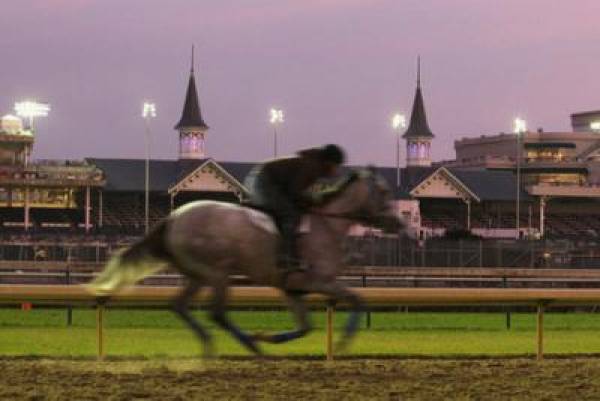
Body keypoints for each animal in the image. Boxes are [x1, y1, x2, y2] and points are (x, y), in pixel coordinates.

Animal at [86, 167, 400, 354]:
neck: (326, 224)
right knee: (217, 313)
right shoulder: (318, 280)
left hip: (198, 275)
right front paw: (344, 341)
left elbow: (305, 326)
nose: (398, 223)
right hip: (217, 273)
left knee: (179, 305)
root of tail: (173, 217)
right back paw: (248, 346)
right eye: (384, 193)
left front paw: (271, 338)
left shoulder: (293, 289)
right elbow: (358, 299)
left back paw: (216, 344)